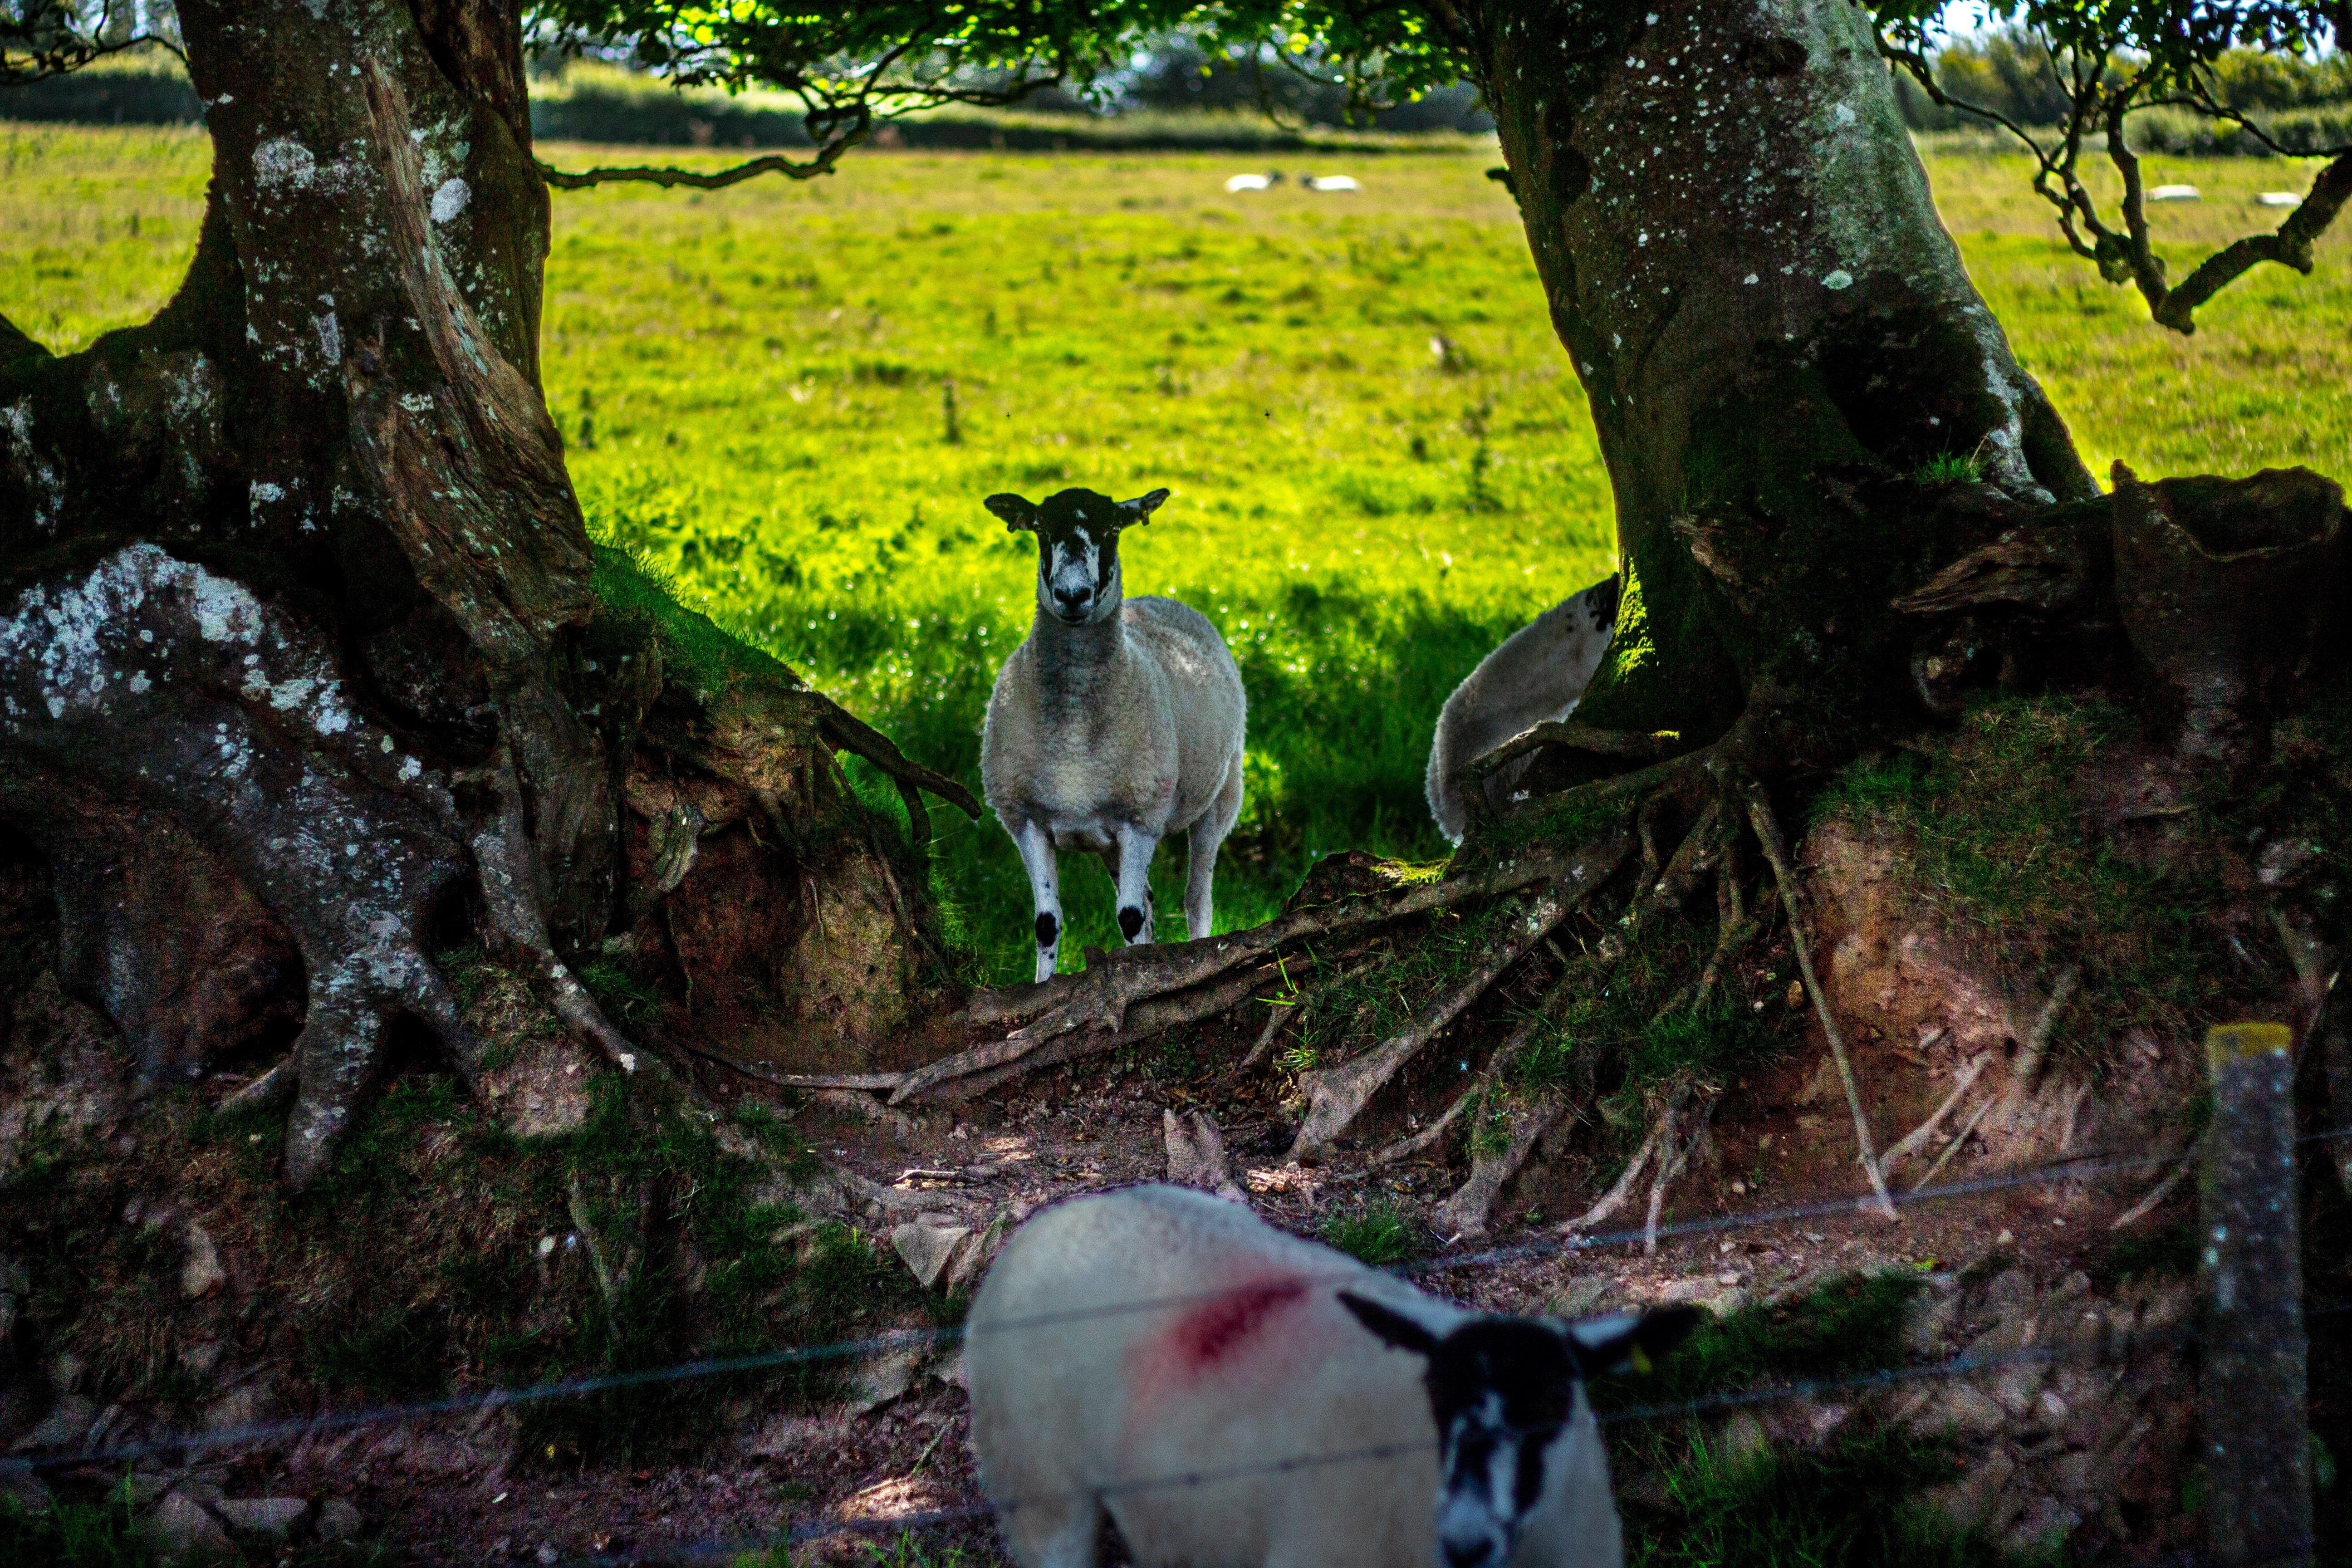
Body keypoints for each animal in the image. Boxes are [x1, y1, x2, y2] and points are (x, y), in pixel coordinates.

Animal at [974, 484, 1251, 987]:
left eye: (1112, 530)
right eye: (1041, 530)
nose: (1072, 596)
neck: (1074, 727)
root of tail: (1163, 598)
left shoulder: (1141, 817)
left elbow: (1129, 917)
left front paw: (1139, 977)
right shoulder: (1025, 819)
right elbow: (1047, 923)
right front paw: (1043, 986)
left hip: (1220, 798)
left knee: (1195, 898)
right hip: (1111, 840)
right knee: (1150, 899)